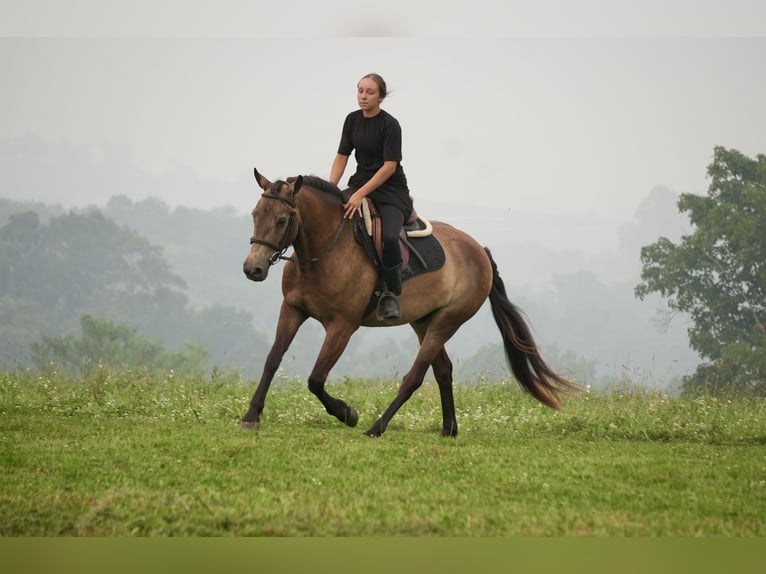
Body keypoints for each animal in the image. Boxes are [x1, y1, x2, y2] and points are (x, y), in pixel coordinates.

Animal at [241, 169, 581, 437]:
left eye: (281, 220)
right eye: (255, 215)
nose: (252, 269)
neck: (325, 250)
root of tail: (479, 251)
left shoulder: (342, 326)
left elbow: (315, 379)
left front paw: (348, 413)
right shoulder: (293, 310)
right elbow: (272, 360)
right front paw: (251, 415)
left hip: (447, 321)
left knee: (415, 376)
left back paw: (376, 427)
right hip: (423, 320)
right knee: (443, 370)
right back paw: (448, 428)